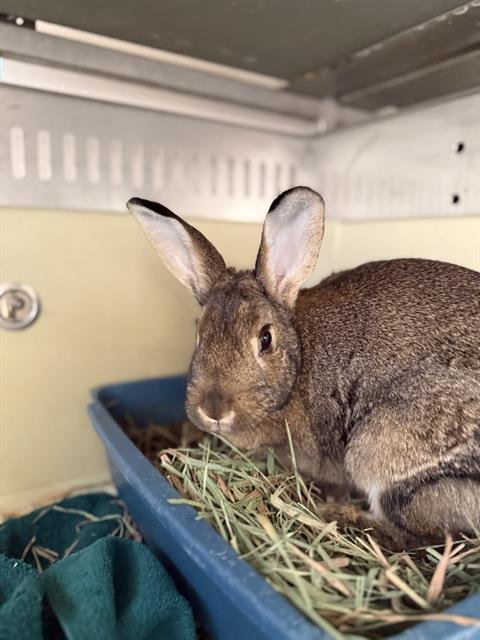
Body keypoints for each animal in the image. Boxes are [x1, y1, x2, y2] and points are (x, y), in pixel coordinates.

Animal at [127, 186, 480, 542]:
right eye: (198, 332)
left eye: (265, 338)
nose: (213, 410)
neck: (297, 364)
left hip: (381, 448)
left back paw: (336, 514)